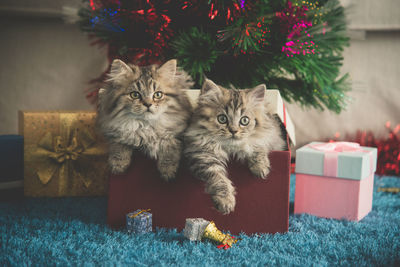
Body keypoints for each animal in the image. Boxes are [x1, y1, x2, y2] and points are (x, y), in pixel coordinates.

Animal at [184, 79, 284, 216]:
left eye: (244, 121)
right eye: (222, 119)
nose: (233, 131)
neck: (231, 148)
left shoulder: (268, 138)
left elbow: (257, 147)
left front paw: (260, 168)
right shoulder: (204, 157)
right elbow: (219, 179)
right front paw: (226, 201)